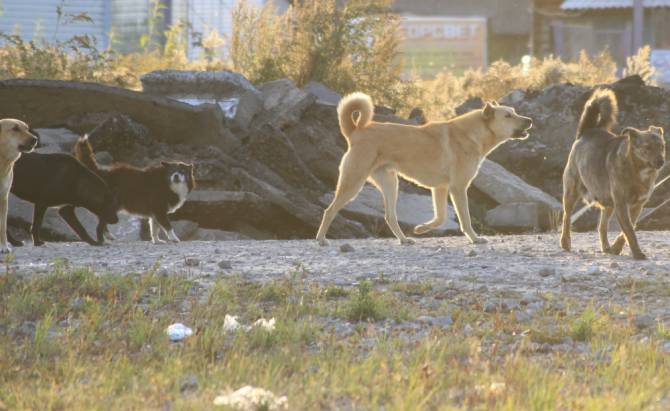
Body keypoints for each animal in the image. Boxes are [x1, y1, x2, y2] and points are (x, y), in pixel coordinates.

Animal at [0, 119, 38, 253]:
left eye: (26, 128)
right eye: (15, 128)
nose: (35, 139)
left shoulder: (3, 198)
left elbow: (2, 226)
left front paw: (3, 246)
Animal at [318, 93, 536, 246]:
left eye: (514, 111)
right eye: (508, 115)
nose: (530, 120)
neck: (473, 133)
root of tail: (355, 132)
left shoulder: (440, 188)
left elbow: (440, 218)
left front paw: (421, 229)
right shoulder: (458, 188)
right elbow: (465, 219)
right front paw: (475, 239)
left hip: (390, 184)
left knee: (390, 216)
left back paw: (404, 239)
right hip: (353, 183)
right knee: (329, 210)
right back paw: (321, 239)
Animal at [560, 88, 668, 260]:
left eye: (662, 146)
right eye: (647, 148)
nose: (661, 162)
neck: (637, 170)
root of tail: (587, 131)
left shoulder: (637, 206)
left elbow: (628, 229)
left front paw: (617, 248)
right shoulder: (622, 204)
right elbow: (629, 231)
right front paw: (637, 253)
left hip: (608, 202)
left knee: (602, 226)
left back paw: (606, 247)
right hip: (571, 192)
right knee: (566, 217)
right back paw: (565, 242)